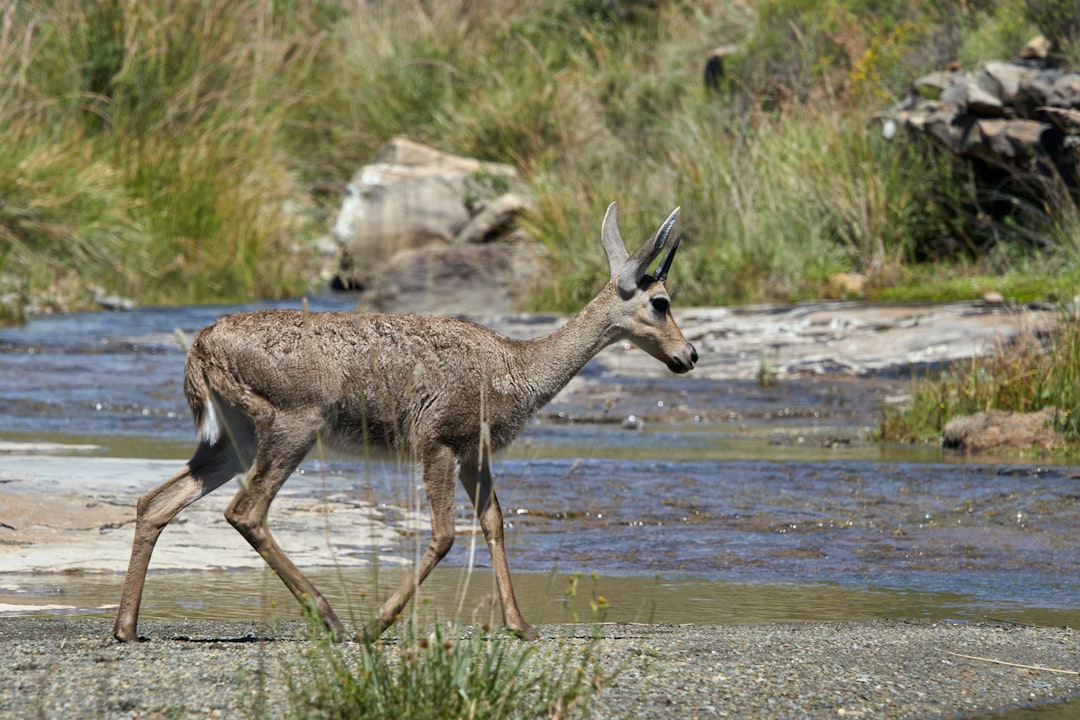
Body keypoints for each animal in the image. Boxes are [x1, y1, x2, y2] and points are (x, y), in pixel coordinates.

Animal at [111, 201, 699, 643]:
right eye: (661, 301)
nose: (689, 355)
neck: (517, 372)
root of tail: (201, 348)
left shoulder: (473, 450)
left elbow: (494, 522)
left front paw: (520, 624)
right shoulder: (436, 438)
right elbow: (443, 534)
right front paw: (376, 626)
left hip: (235, 435)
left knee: (155, 501)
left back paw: (127, 627)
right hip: (294, 421)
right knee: (245, 511)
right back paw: (334, 621)